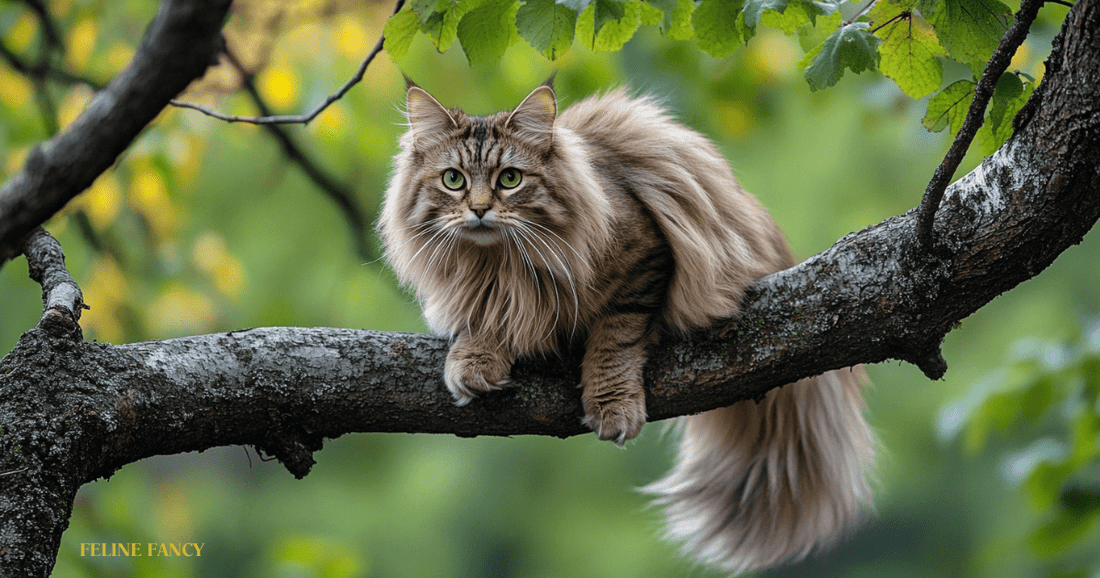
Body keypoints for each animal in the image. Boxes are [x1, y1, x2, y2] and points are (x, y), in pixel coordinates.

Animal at [378, 79, 875, 572]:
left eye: (510, 179)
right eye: (454, 180)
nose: (480, 209)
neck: (499, 263)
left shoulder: (645, 260)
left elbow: (615, 340)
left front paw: (612, 404)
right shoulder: (483, 293)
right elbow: (484, 321)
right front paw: (474, 361)